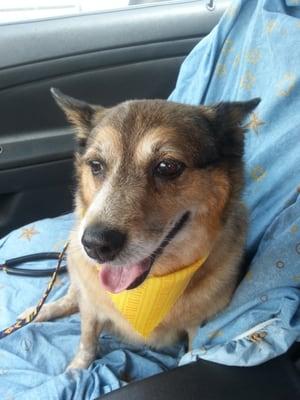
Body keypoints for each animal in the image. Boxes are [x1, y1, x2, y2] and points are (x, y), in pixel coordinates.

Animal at [22, 90, 258, 368]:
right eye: (96, 165)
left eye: (167, 167)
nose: (95, 244)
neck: (151, 286)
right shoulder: (90, 306)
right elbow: (87, 340)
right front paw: (77, 369)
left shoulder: (198, 325)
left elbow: (192, 351)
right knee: (71, 296)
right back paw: (38, 312)